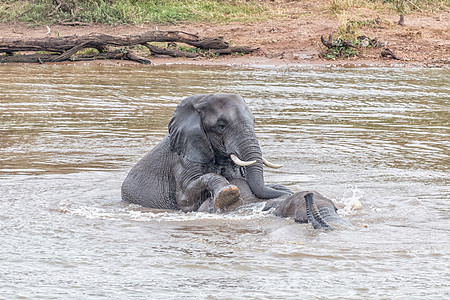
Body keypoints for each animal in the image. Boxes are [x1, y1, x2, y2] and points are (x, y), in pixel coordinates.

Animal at [121, 92, 288, 212]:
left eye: (254, 121)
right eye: (221, 126)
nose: (289, 193)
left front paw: (283, 189)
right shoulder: (182, 159)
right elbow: (185, 200)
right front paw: (227, 193)